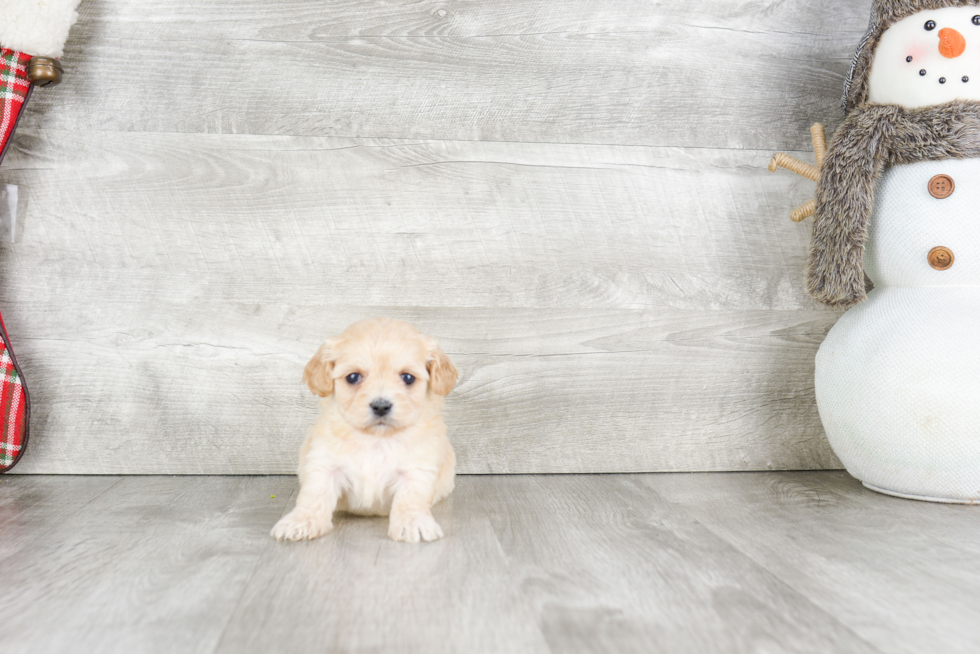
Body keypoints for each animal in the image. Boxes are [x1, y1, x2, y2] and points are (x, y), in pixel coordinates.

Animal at [272, 320, 460, 544]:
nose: (381, 406)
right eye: (353, 377)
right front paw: (301, 521)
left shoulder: (417, 469)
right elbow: (314, 494)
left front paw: (413, 522)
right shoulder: (324, 465)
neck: (376, 439)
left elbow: (410, 497)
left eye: (408, 377)